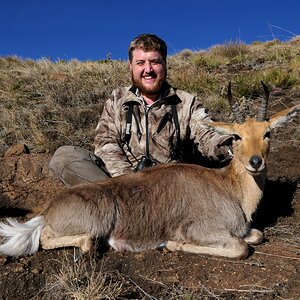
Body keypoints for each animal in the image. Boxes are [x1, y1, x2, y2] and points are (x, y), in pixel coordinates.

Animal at [0, 82, 298, 258]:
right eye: (236, 136)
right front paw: (171, 243)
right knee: (49, 239)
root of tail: (48, 210)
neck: (228, 187)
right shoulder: (203, 231)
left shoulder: (248, 230)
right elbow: (241, 247)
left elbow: (256, 235)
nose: (256, 162)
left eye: (267, 133)